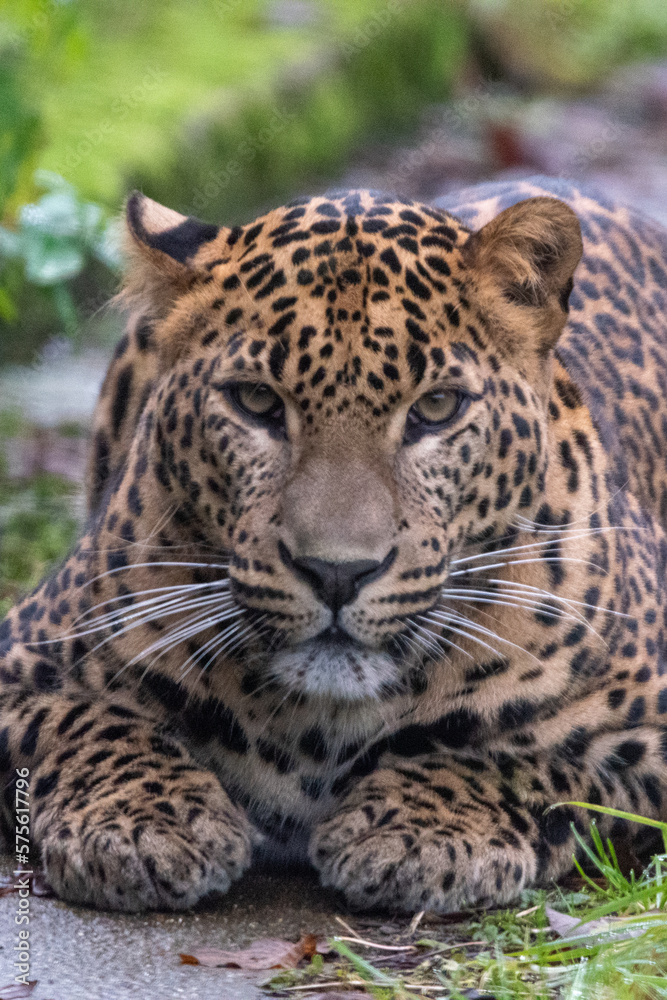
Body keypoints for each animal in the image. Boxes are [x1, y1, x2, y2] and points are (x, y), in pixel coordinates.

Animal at [1, 175, 667, 914]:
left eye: (437, 408)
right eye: (256, 402)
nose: (336, 573)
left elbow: (522, 759)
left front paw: (421, 831)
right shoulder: (24, 657)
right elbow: (89, 721)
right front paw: (142, 821)